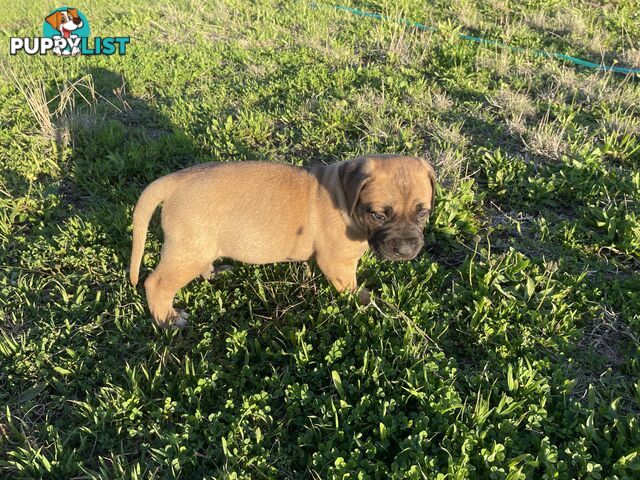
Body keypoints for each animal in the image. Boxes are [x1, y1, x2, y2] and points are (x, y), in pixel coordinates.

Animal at [132, 156, 438, 328]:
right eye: (378, 215)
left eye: (422, 212)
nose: (406, 249)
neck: (344, 196)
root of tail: (175, 180)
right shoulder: (338, 263)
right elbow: (354, 290)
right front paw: (373, 304)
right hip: (188, 249)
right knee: (156, 283)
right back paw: (168, 320)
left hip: (198, 245)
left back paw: (216, 274)